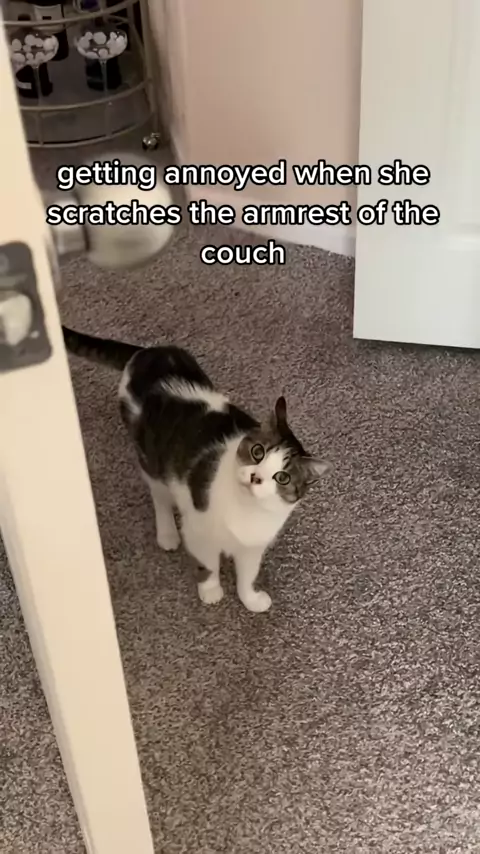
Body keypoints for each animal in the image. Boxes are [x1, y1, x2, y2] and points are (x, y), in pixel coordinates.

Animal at [63, 327, 331, 612]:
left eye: (282, 477)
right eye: (258, 452)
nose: (255, 477)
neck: (248, 511)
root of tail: (146, 353)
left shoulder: (252, 547)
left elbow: (248, 575)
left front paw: (251, 600)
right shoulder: (199, 531)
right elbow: (208, 564)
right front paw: (211, 591)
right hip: (151, 459)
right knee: (160, 497)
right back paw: (167, 534)